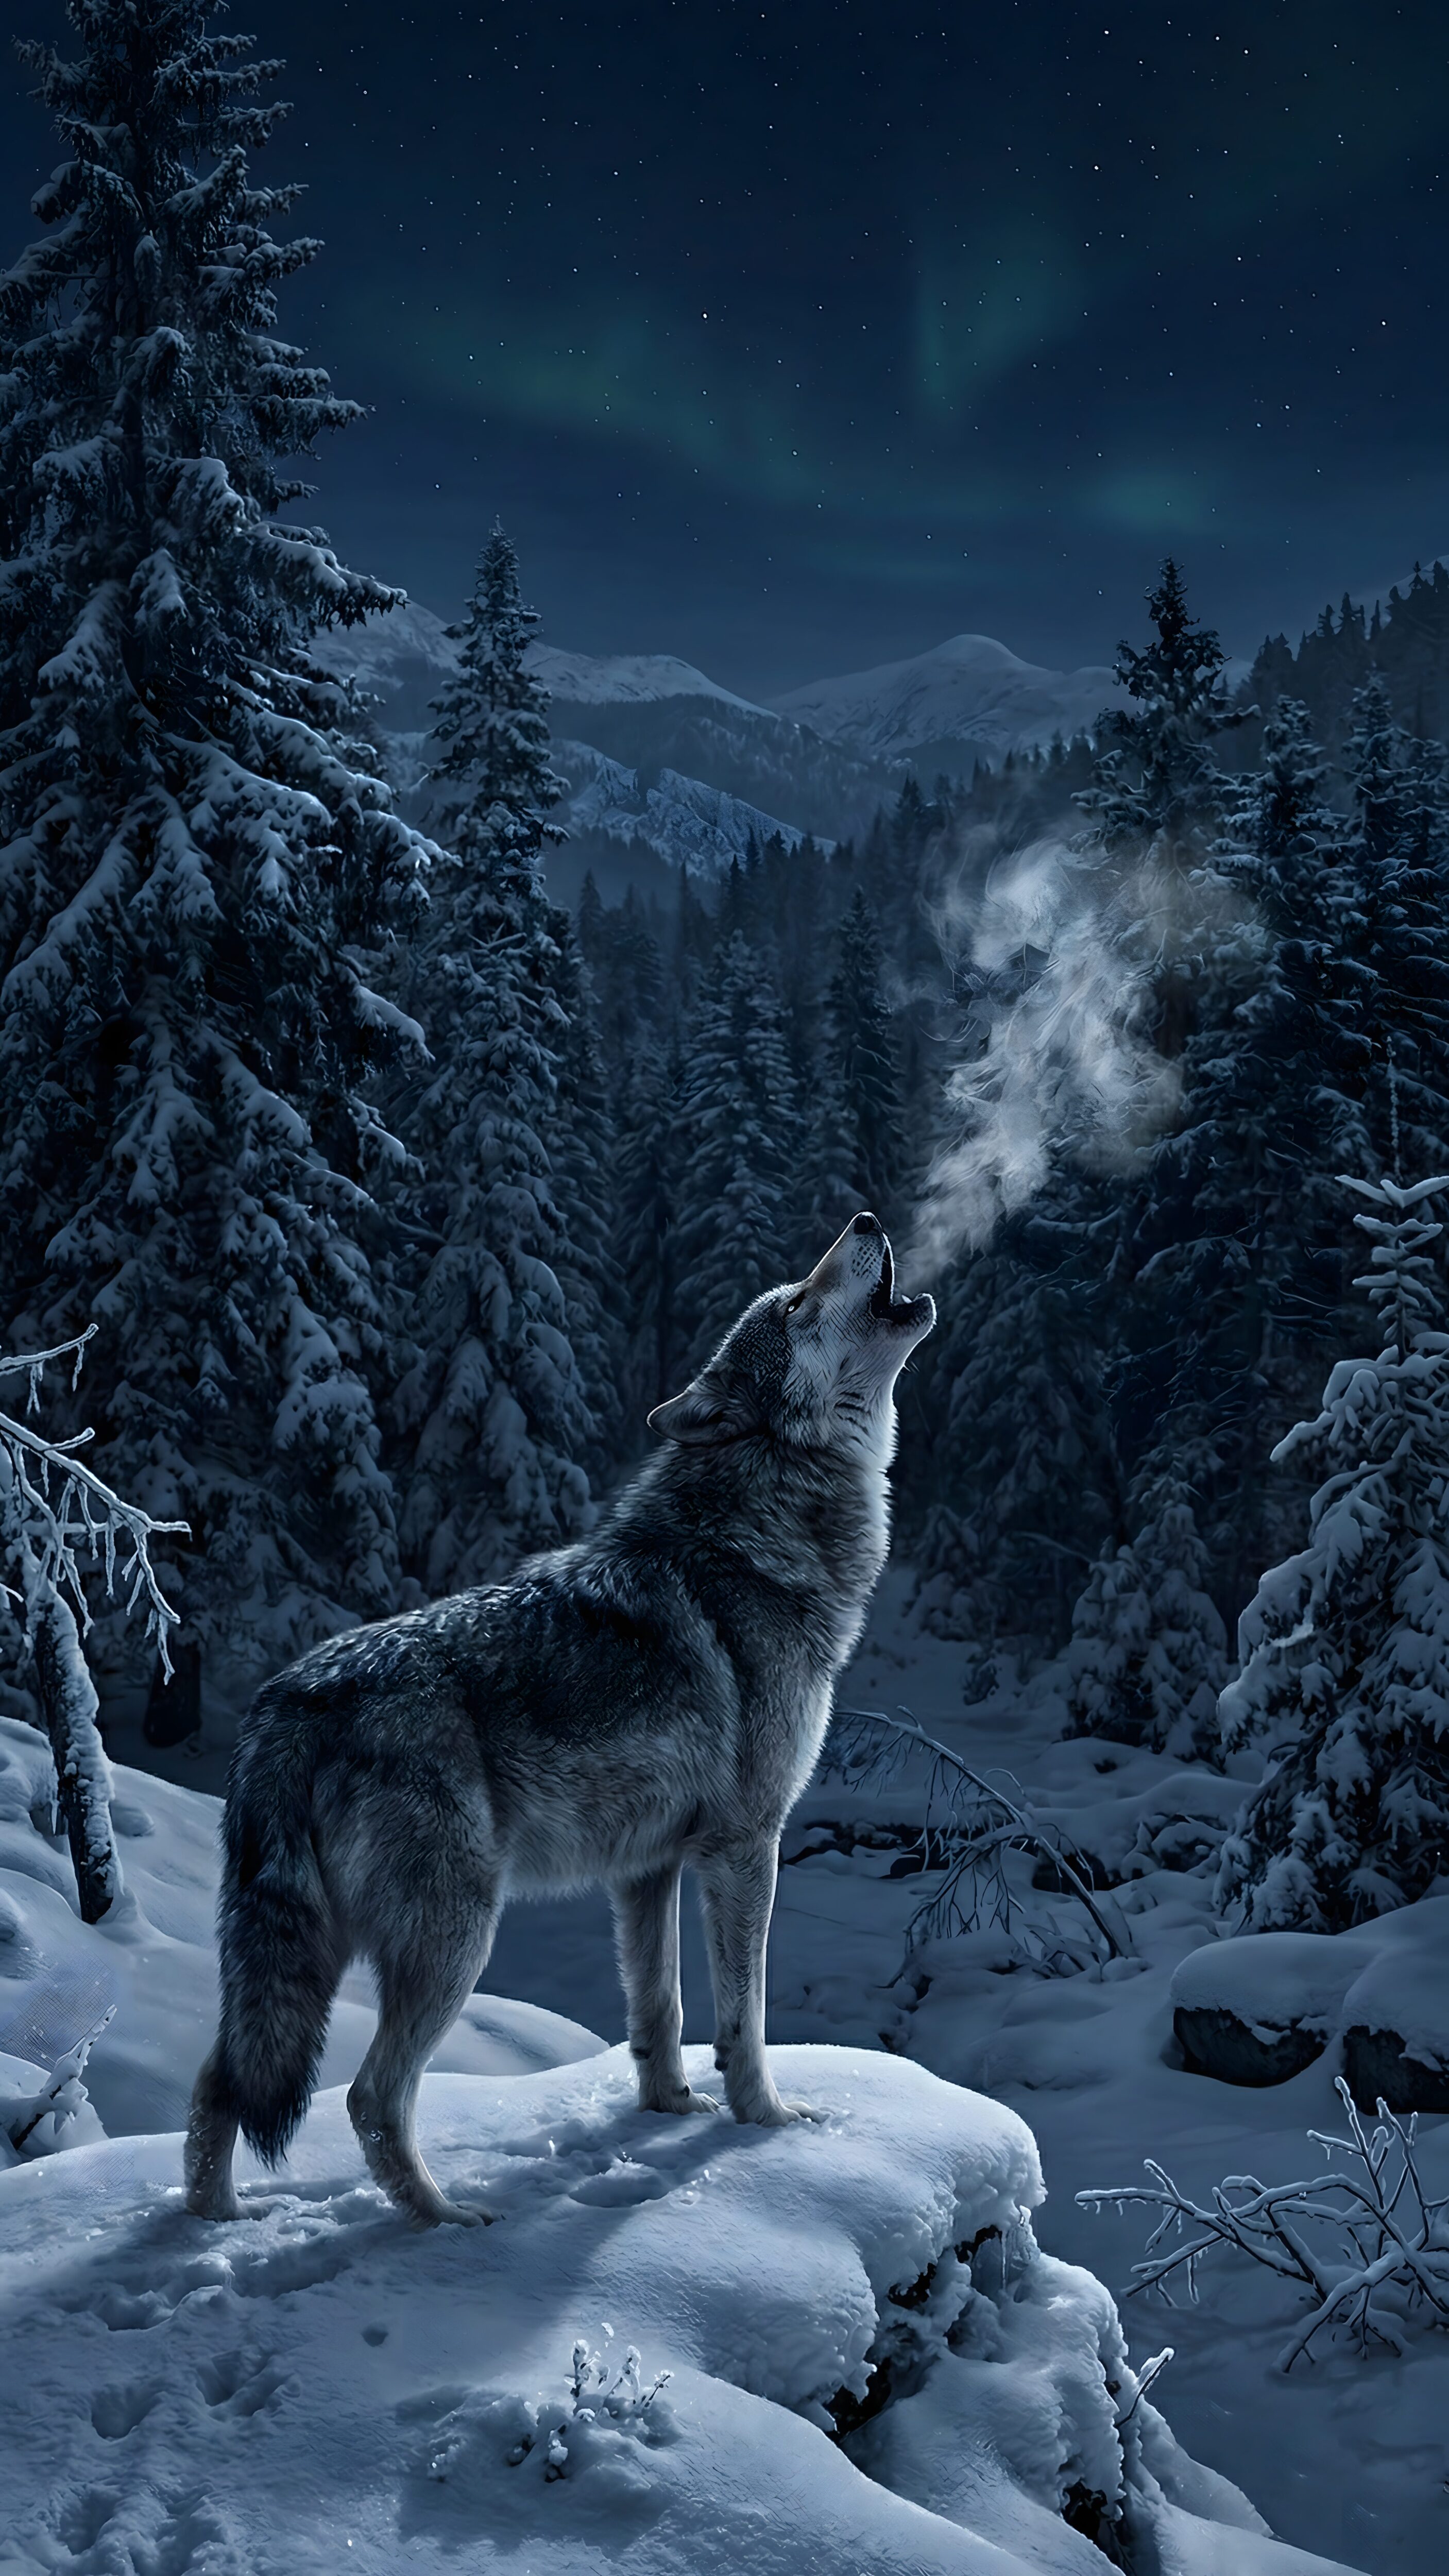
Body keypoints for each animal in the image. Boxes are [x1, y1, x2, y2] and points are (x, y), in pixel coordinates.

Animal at [184, 1212, 933, 2226]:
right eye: (794, 1304)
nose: (863, 1220)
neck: (751, 1530)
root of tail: (283, 1702)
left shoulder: (648, 1869)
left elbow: (658, 2011)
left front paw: (668, 2110)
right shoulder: (745, 1846)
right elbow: (745, 2016)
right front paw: (767, 2124)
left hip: (305, 1957)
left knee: (221, 2083)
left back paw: (214, 2226)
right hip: (455, 1937)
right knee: (369, 2096)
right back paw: (446, 2221)